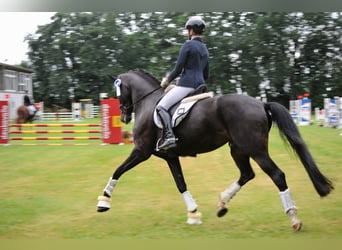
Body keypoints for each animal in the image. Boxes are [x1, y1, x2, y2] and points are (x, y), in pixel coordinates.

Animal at [96, 68, 334, 230]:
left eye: (119, 90)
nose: (124, 117)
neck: (149, 104)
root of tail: (261, 104)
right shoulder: (170, 156)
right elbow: (181, 184)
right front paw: (193, 214)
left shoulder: (141, 151)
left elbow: (118, 170)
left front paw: (103, 202)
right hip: (238, 149)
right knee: (247, 174)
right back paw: (222, 205)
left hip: (256, 150)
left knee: (277, 175)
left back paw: (294, 218)